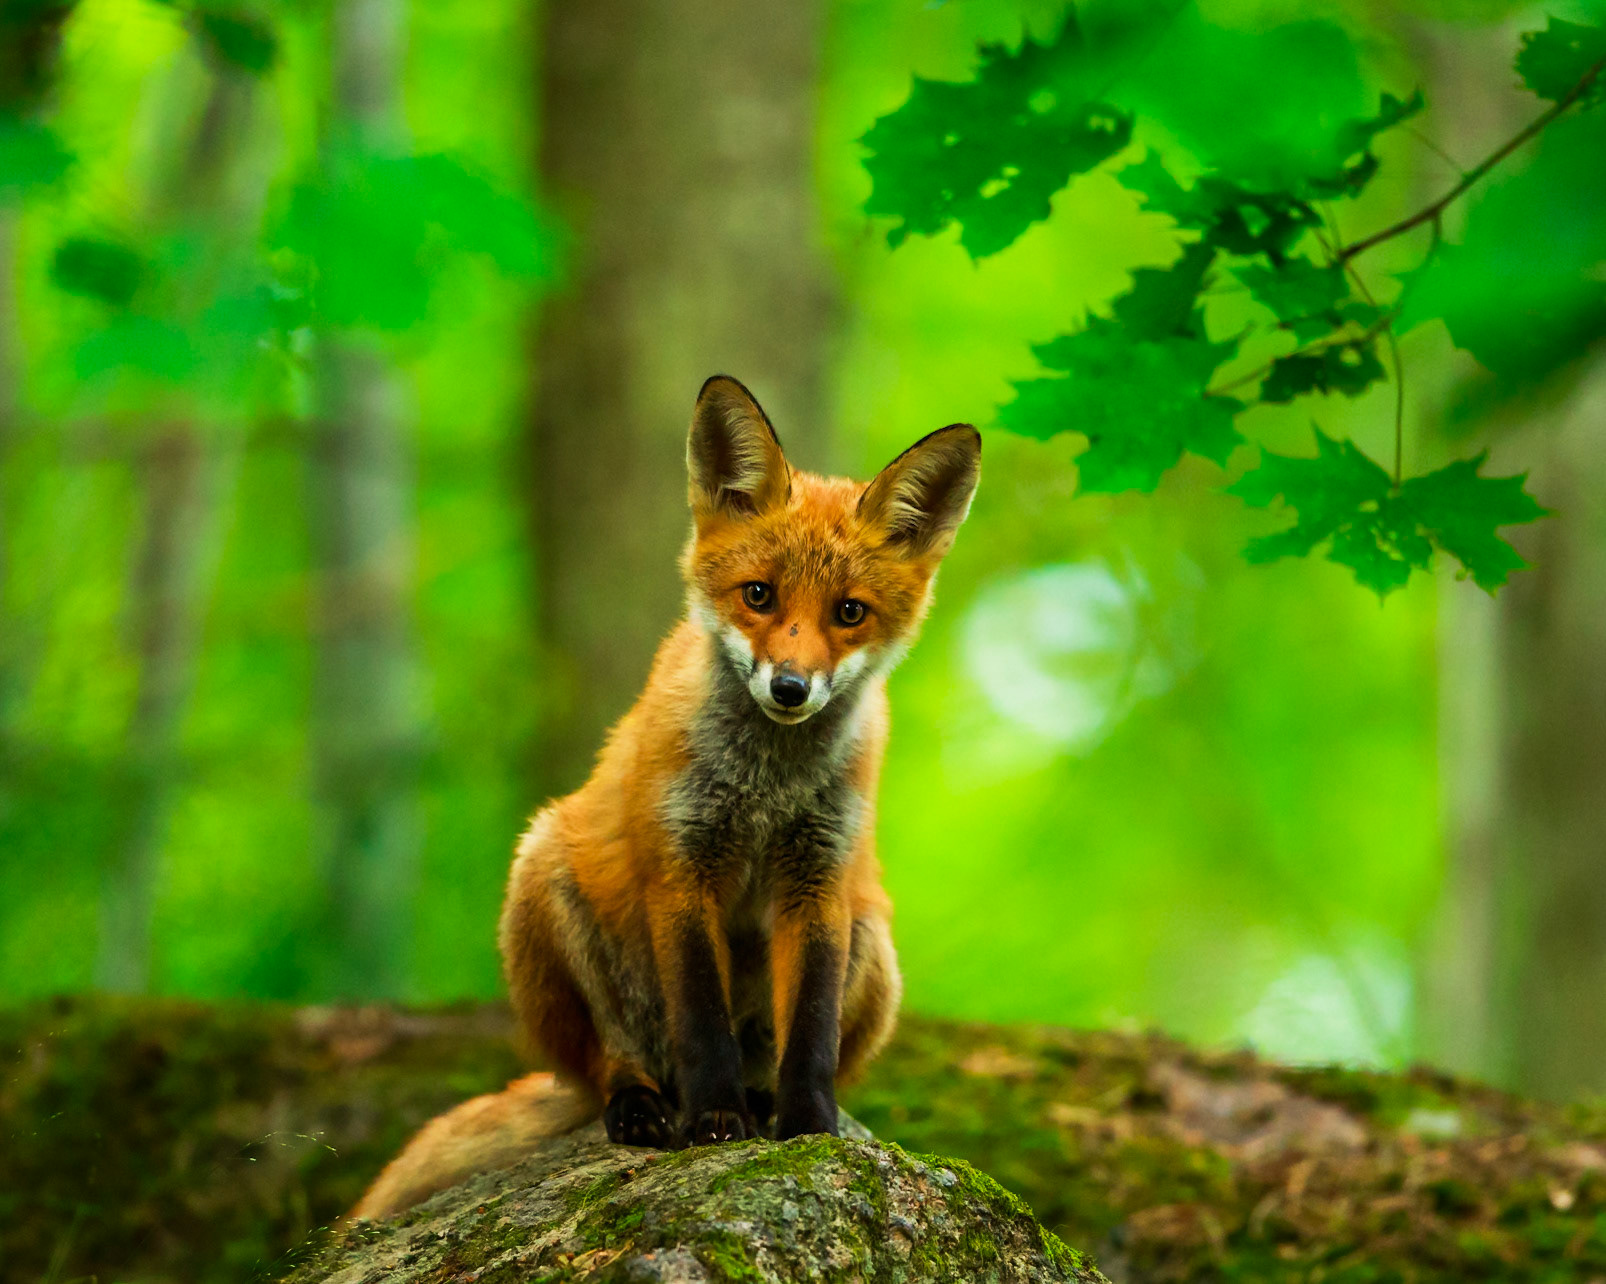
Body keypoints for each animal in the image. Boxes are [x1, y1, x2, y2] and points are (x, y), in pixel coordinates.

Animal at [352, 375, 979, 1220]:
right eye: (758, 596)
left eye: (850, 613)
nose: (790, 687)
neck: (765, 785)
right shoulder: (681, 866)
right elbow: (702, 1020)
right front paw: (714, 1125)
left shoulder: (819, 881)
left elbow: (810, 1034)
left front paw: (808, 1128)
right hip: (543, 883)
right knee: (610, 1060)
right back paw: (645, 1107)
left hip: (875, 946)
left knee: (772, 1051)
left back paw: (759, 1100)